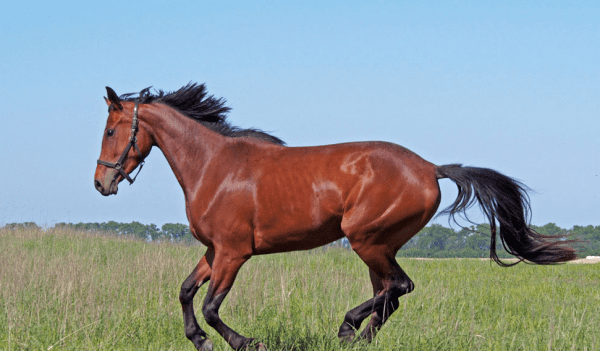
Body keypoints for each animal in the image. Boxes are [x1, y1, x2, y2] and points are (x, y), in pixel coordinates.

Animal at [94, 83, 576, 351]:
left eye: (111, 130)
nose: (102, 183)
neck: (214, 166)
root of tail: (429, 168)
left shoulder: (233, 253)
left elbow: (212, 307)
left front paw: (246, 342)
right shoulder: (214, 251)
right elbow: (185, 292)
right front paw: (198, 341)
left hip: (366, 238)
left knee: (399, 288)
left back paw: (347, 328)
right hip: (379, 245)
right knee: (390, 294)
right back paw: (358, 336)